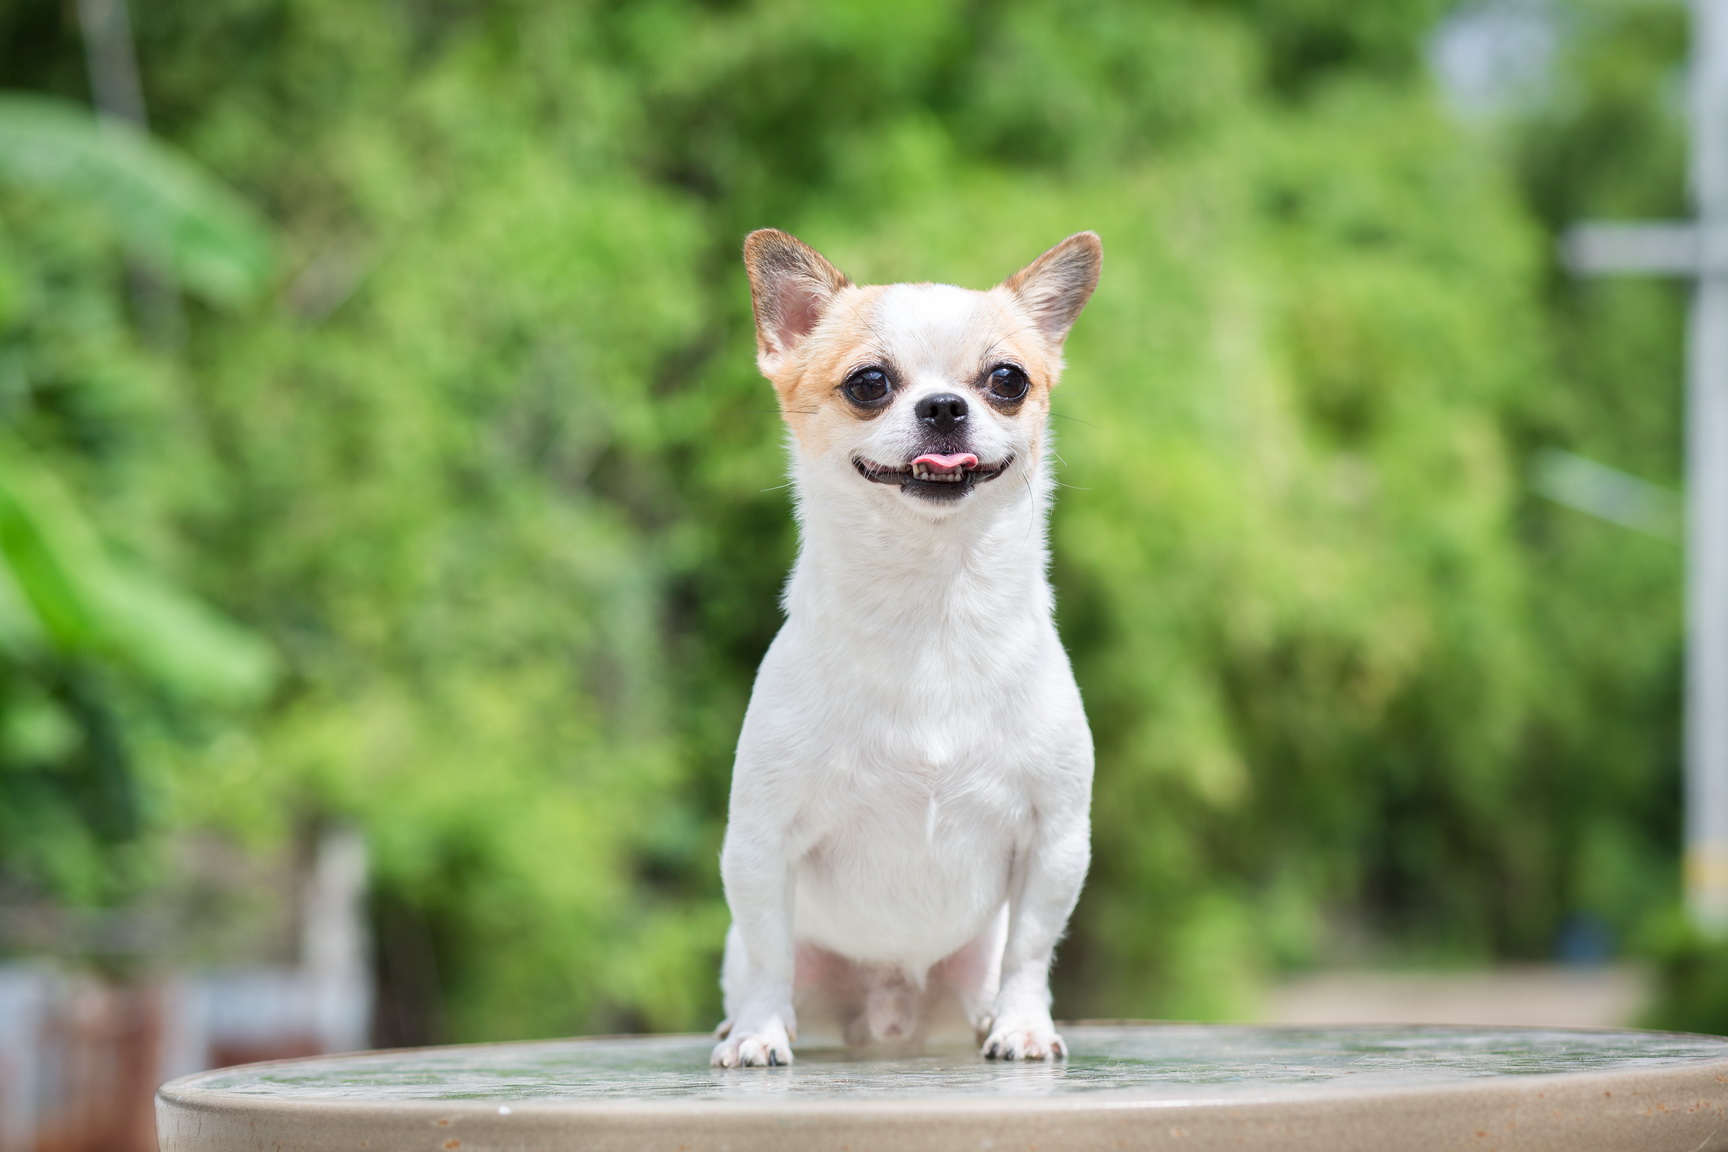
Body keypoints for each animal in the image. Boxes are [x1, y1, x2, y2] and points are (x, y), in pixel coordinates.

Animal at [710, 229, 1101, 1068]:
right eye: (870, 384)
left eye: (1007, 380)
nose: (945, 405)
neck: (931, 605)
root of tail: (892, 1012)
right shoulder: (759, 843)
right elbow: (767, 949)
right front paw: (759, 1033)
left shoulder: (1055, 842)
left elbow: (1031, 950)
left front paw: (1024, 1024)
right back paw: (743, 1022)